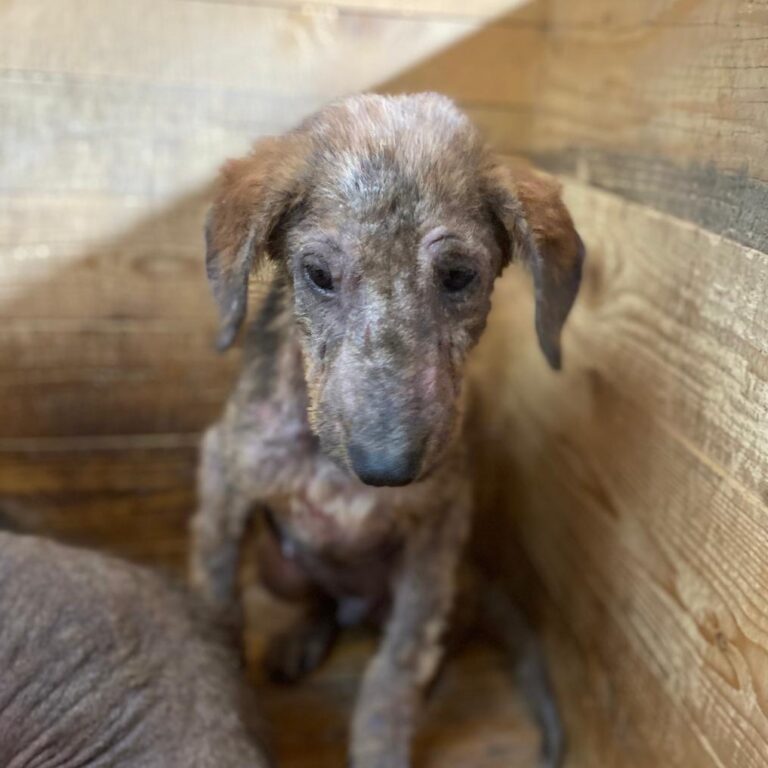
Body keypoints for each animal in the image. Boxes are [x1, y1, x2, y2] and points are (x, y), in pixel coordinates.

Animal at [190, 91, 584, 768]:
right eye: (317, 274)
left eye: (459, 275)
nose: (386, 468)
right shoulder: (226, 474)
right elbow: (217, 600)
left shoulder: (436, 532)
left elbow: (396, 668)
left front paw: (382, 743)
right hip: (276, 563)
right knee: (320, 601)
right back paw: (299, 638)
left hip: (447, 587)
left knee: (424, 649)